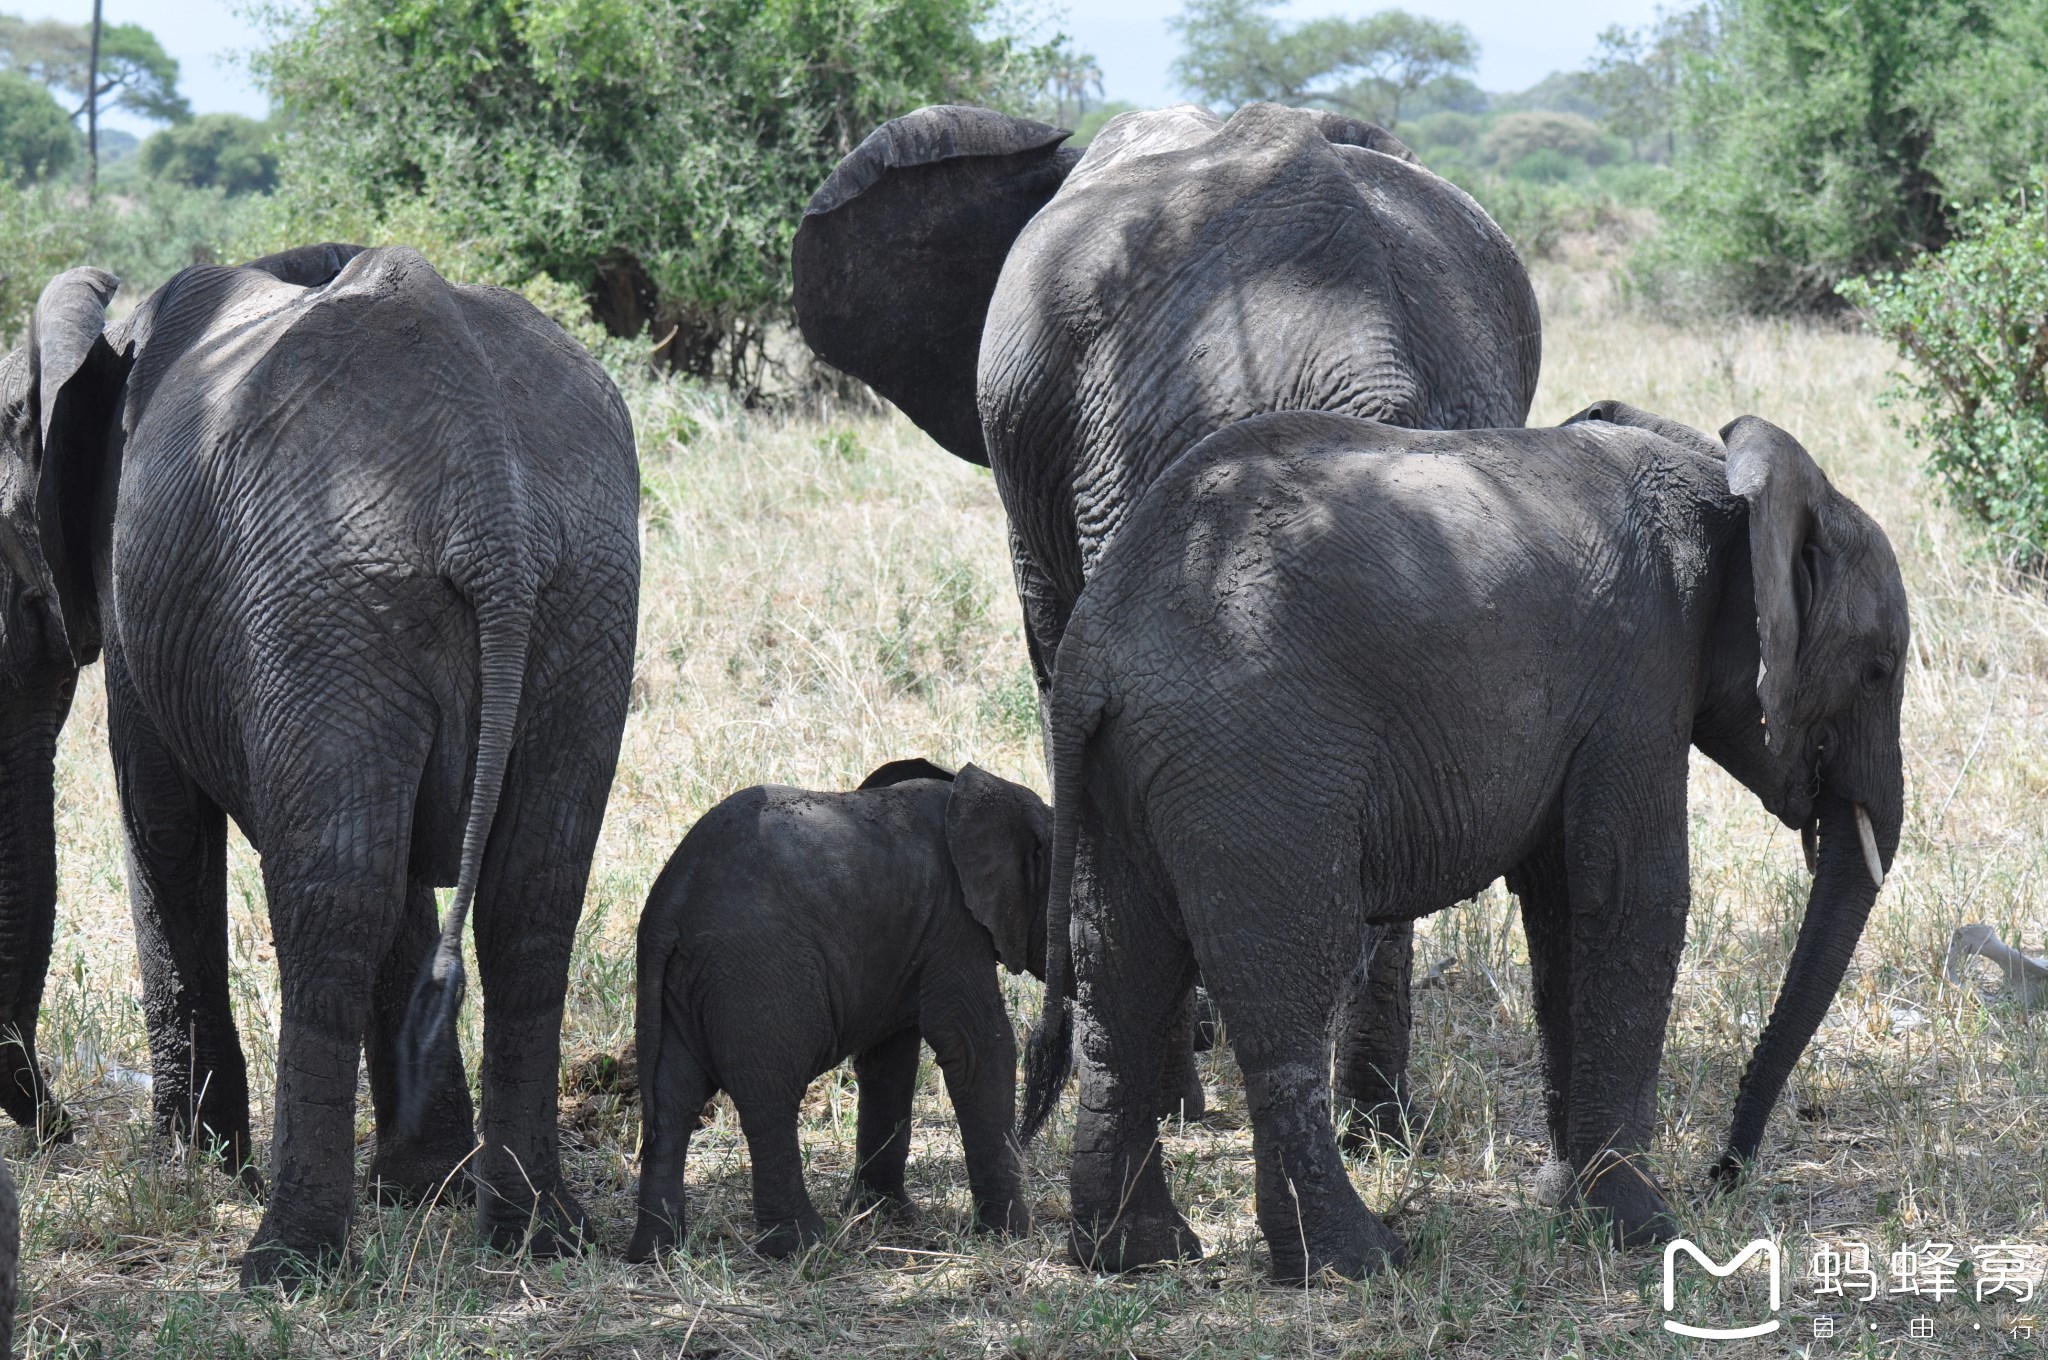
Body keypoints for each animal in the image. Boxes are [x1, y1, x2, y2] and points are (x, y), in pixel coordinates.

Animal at [0, 246, 638, 1286]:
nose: (51, 1129)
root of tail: (489, 495)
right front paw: (422, 1187)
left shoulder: (139, 591)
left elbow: (162, 824)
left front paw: (190, 1169)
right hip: (578, 592)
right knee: (527, 898)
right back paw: (539, 1234)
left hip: (331, 597)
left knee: (329, 903)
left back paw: (285, 1260)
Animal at [626, 757, 1056, 1261]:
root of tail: (669, 903)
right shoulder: (955, 925)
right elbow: (977, 1051)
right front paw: (1012, 1236)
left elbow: (889, 1062)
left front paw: (885, 1215)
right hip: (756, 974)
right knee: (769, 1095)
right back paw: (801, 1246)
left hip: (678, 986)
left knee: (673, 1099)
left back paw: (657, 1252)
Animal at [1024, 409, 1916, 1278]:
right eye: (1878, 670)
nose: (1724, 1174)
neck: (1722, 477)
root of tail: (1094, 645)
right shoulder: (1642, 671)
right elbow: (1635, 895)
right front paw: (1642, 1228)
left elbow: (1562, 905)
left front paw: (1567, 1200)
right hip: (1254, 764)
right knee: (1289, 982)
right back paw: (1357, 1261)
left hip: (1123, 773)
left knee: (1121, 978)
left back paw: (1132, 1255)